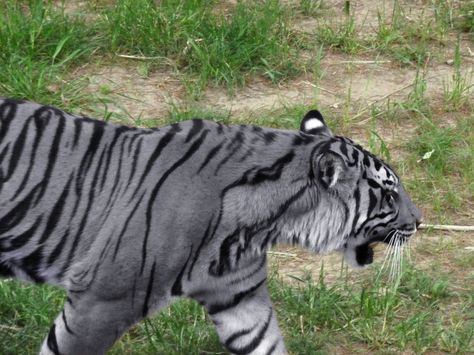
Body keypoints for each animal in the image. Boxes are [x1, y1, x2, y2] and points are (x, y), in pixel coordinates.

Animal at [0, 98, 422, 355]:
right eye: (388, 195)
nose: (420, 221)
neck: (262, 226)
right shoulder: (103, 299)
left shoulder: (240, 298)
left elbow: (267, 343)